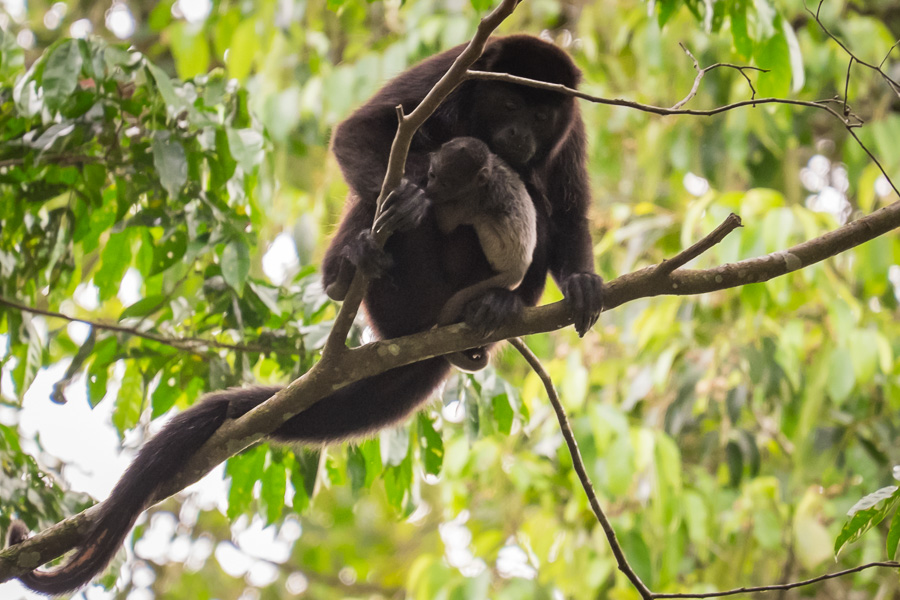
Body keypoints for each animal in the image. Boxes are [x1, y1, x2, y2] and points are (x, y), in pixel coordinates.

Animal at [8, 35, 604, 592]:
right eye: (509, 101)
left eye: (543, 115)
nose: (520, 136)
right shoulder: (458, 64)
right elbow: (364, 130)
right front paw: (415, 193)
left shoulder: (573, 127)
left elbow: (568, 209)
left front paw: (581, 280)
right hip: (394, 299)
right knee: (384, 189)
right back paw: (352, 264)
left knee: (535, 203)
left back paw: (497, 304)